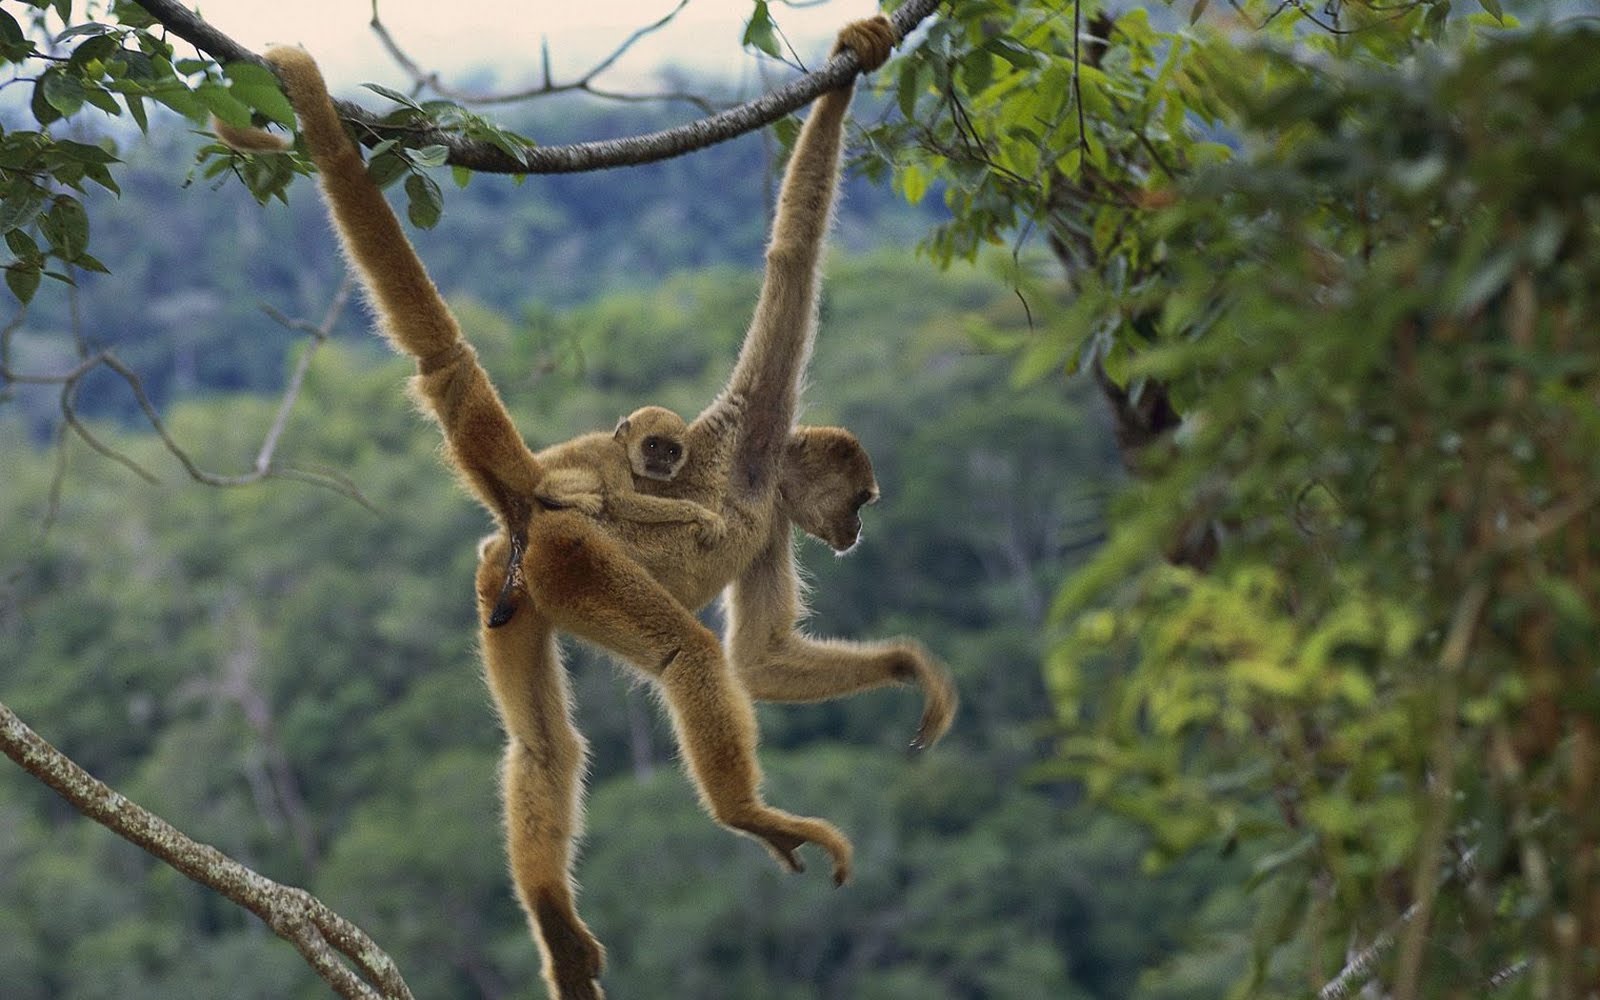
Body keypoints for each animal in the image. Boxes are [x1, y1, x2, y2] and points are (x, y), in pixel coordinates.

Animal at [243, 18, 952, 999]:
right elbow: (793, 259)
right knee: (687, 656)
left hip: (510, 587)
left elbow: (764, 658)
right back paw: (750, 816)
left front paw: (906, 668)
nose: (855, 533)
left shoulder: (771, 527)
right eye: (865, 498)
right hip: (578, 561)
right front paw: (853, 62)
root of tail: (531, 506)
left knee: (546, 751)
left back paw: (555, 921)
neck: (765, 482)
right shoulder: (758, 429)